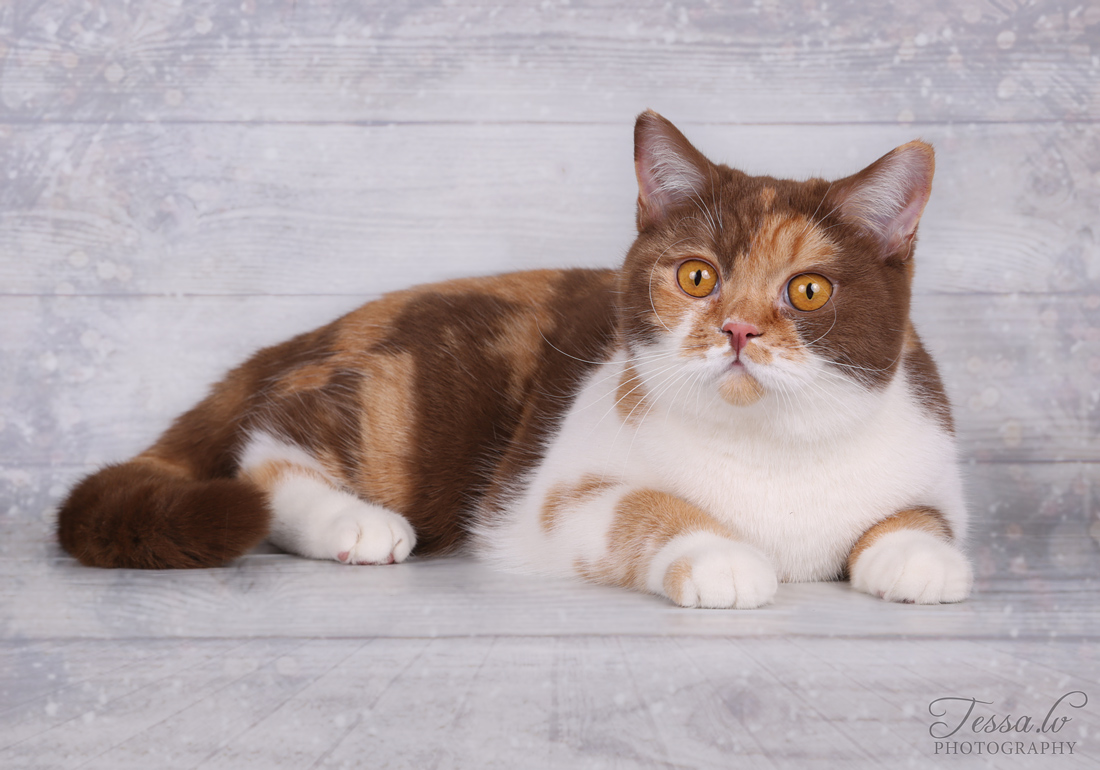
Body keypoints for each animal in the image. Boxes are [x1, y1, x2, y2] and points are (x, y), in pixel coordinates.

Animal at [58, 111, 972, 611]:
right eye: (697, 277)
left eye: (809, 291)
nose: (740, 330)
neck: (772, 450)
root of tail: (331, 327)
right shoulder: (551, 499)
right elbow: (646, 508)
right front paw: (721, 559)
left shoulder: (927, 451)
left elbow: (921, 514)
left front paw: (920, 556)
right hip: (415, 404)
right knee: (266, 448)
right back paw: (356, 522)